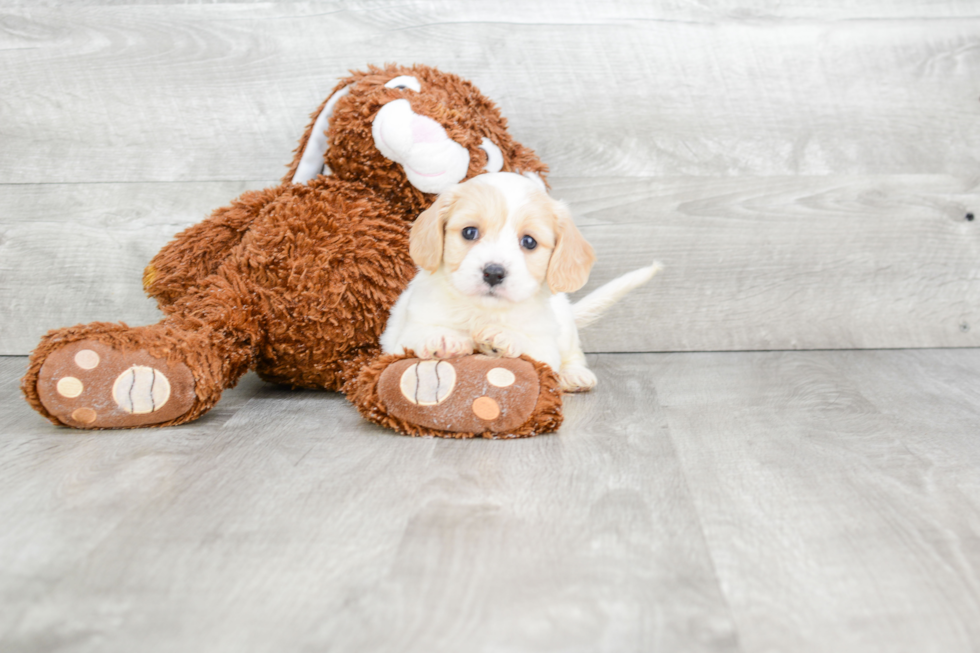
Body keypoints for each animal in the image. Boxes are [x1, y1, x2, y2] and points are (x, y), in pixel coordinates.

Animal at [378, 171, 664, 390]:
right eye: (469, 232)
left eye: (529, 242)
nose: (494, 272)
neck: (483, 312)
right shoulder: (400, 338)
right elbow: (419, 335)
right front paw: (444, 339)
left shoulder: (545, 349)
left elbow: (531, 347)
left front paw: (503, 337)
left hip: (566, 330)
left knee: (574, 354)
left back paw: (574, 374)